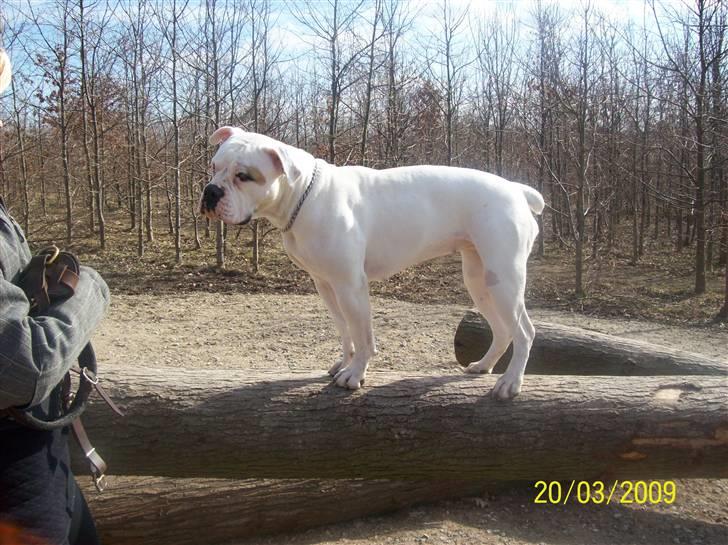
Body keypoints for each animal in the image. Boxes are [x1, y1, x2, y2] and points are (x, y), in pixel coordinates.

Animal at [202, 127, 544, 400]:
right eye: (214, 166)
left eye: (244, 176)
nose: (210, 191)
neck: (305, 196)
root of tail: (516, 189)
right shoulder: (326, 285)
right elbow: (345, 330)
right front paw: (344, 363)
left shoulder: (350, 286)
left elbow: (362, 333)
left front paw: (355, 374)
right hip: (480, 280)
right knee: (503, 330)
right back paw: (484, 366)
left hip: (504, 280)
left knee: (524, 332)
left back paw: (510, 383)